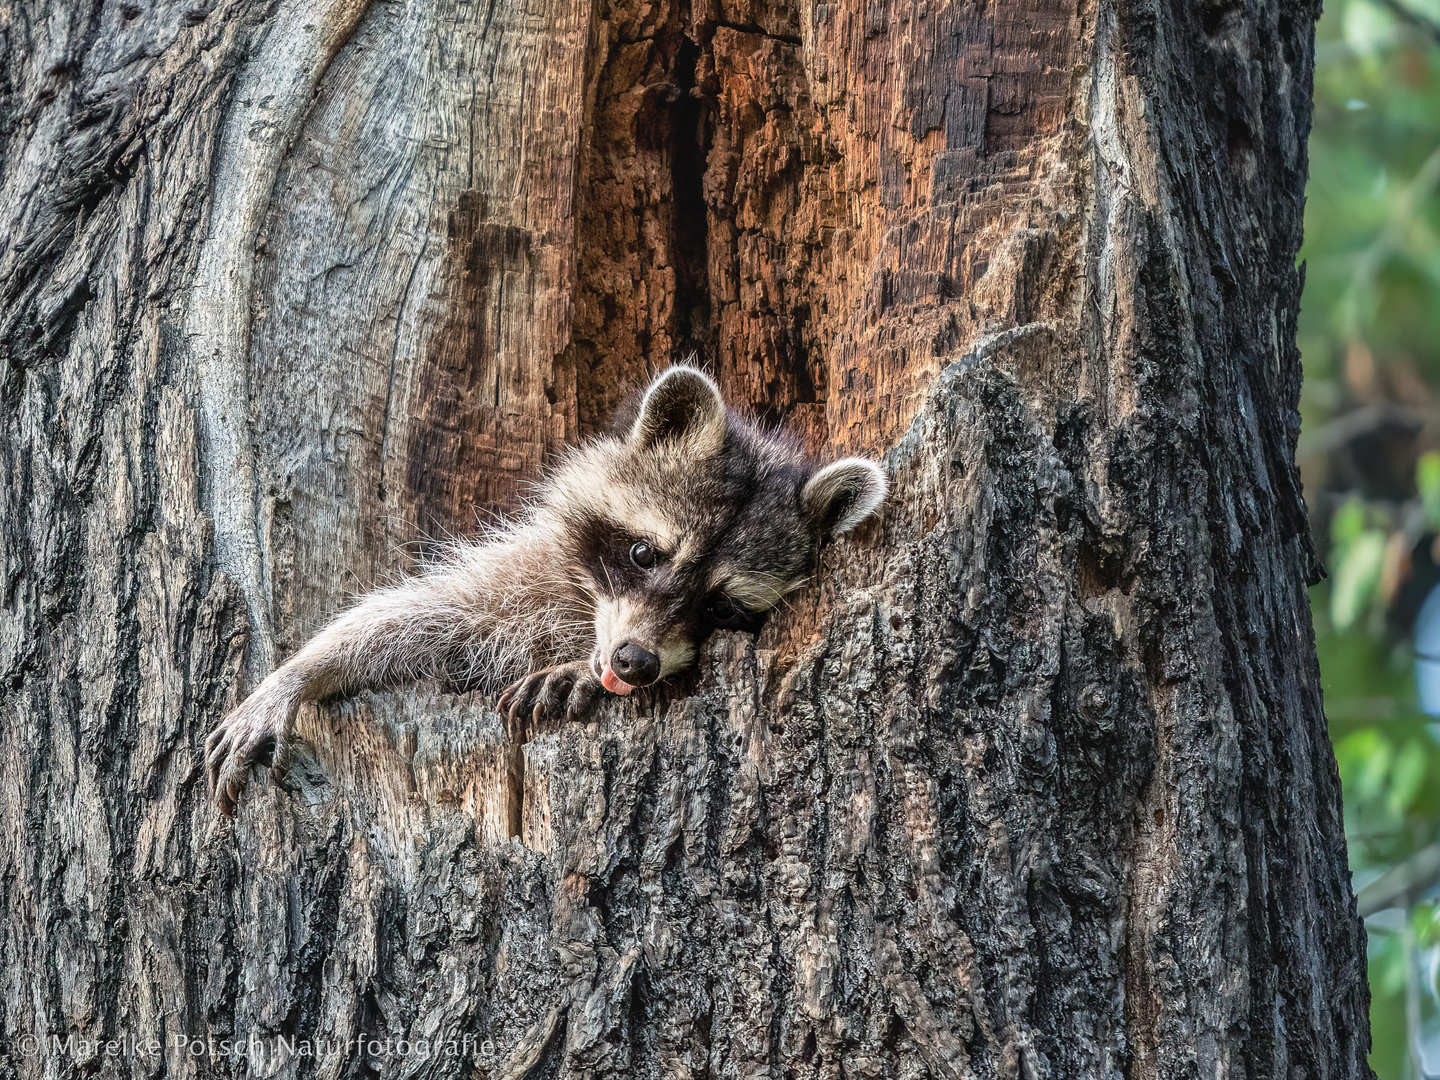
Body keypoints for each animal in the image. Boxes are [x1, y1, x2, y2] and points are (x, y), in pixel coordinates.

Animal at [200, 364, 875, 812]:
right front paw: (300, 671)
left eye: (721, 606)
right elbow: (421, 616)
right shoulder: (529, 578)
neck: (588, 612)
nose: (633, 663)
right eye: (643, 554)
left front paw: (578, 671)